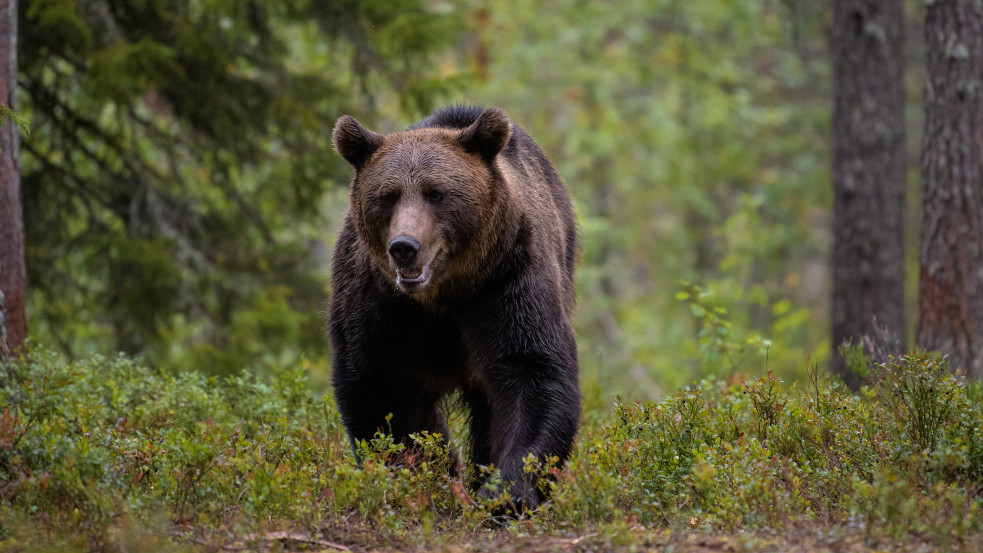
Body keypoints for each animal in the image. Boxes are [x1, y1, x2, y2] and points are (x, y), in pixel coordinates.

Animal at [326, 104, 580, 508]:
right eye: (388, 194)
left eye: (436, 193)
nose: (404, 247)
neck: (442, 294)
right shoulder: (380, 303)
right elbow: (376, 386)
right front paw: (411, 476)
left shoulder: (506, 280)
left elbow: (532, 369)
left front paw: (507, 491)